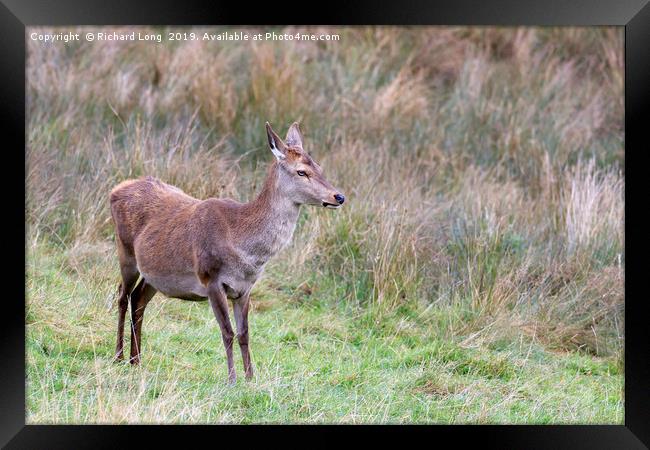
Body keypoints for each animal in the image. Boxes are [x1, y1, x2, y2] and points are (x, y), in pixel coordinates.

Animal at [107, 122, 344, 384]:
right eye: (302, 172)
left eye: (319, 167)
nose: (339, 196)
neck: (246, 250)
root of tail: (116, 189)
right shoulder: (212, 279)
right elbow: (227, 331)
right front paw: (231, 379)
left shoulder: (245, 288)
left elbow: (244, 333)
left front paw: (250, 378)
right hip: (125, 252)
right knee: (122, 295)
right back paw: (118, 356)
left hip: (154, 275)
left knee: (138, 299)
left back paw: (136, 360)